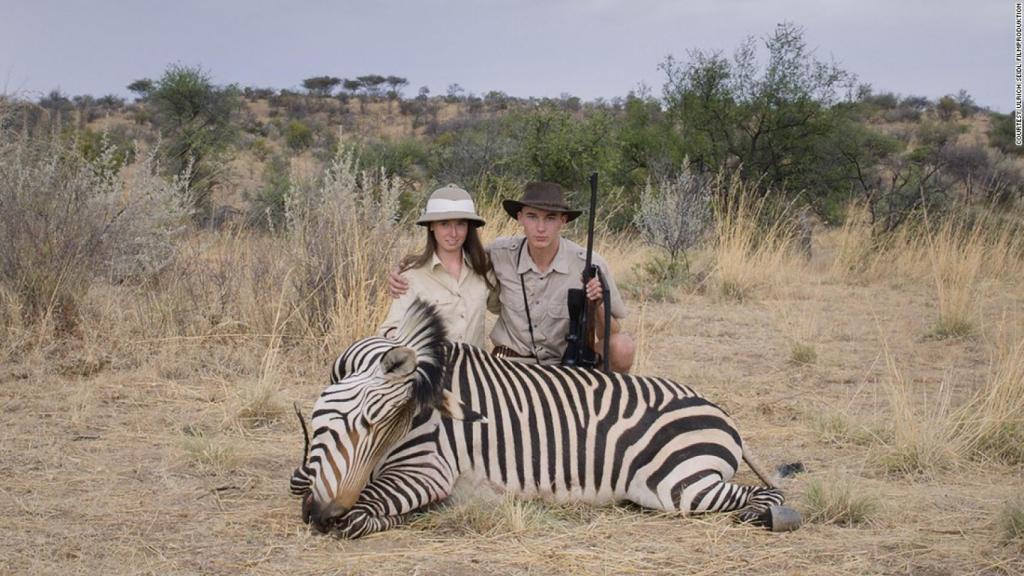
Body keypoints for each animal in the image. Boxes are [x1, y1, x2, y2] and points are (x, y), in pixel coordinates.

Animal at [290, 299, 793, 538]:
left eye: (369, 427)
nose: (323, 515)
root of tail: (720, 413)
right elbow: (314, 482)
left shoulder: (427, 468)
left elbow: (368, 507)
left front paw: (365, 519)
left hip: (678, 484)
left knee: (767, 492)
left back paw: (767, 517)